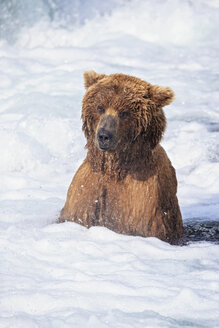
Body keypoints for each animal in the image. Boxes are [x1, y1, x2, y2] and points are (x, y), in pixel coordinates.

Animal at [58, 70, 183, 243]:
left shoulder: (142, 200)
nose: (104, 135)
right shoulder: (84, 192)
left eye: (124, 112)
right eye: (100, 107)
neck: (114, 168)